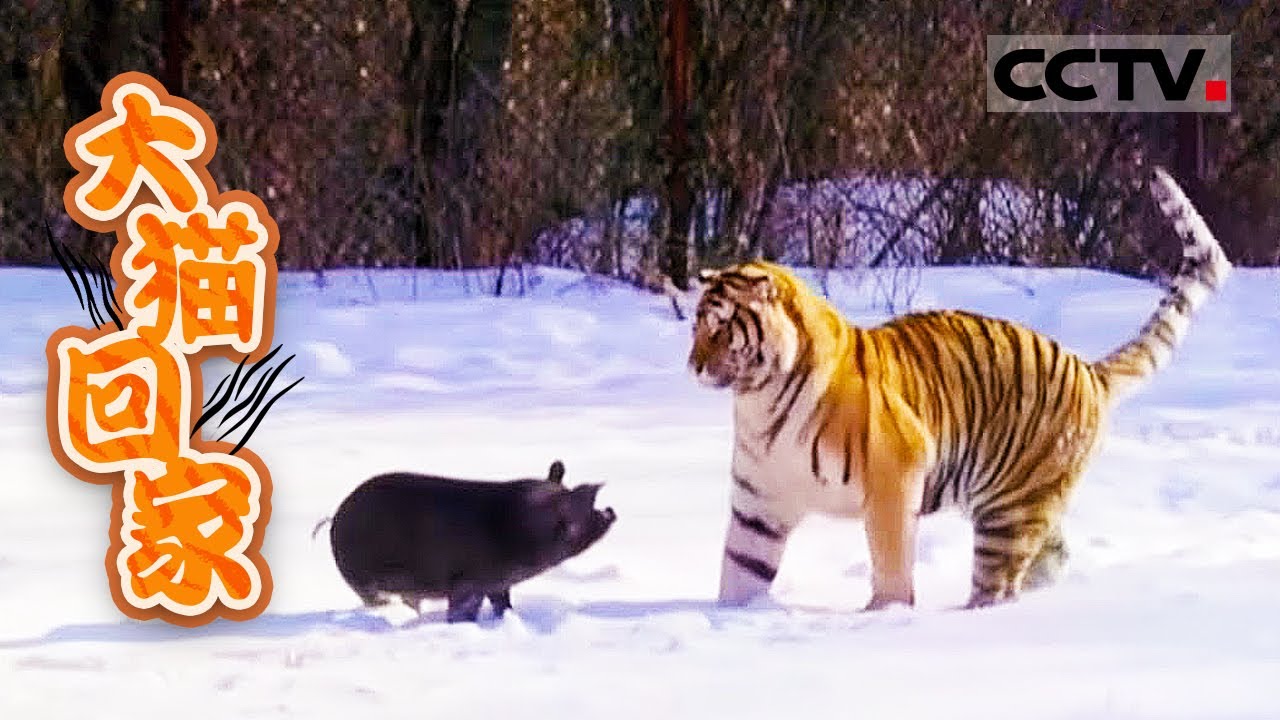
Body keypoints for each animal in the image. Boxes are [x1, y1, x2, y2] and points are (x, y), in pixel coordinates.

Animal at [687, 167, 1231, 610]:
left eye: (720, 329)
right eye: (695, 326)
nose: (692, 366)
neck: (760, 400)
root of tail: (1087, 368)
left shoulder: (895, 474)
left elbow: (890, 560)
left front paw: (884, 617)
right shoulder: (759, 502)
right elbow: (741, 572)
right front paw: (732, 618)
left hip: (1008, 512)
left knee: (997, 583)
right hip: (1033, 502)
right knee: (1052, 558)